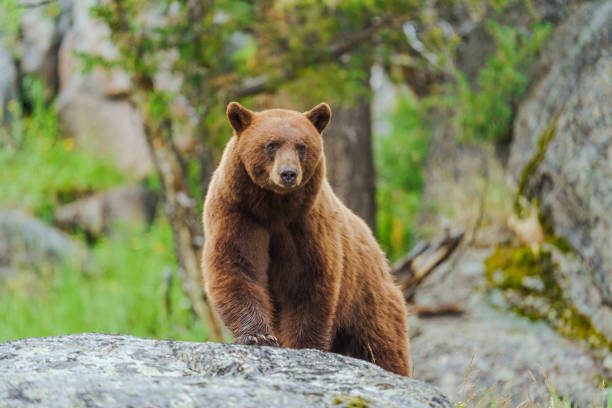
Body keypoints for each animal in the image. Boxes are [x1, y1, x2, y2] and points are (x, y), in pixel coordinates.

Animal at [201, 101, 412, 376]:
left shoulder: (306, 225)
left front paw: (304, 345)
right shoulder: (238, 213)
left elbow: (307, 281)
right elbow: (237, 266)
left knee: (382, 346)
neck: (273, 208)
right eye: (271, 144)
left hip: (368, 300)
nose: (288, 173)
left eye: (302, 146)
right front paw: (258, 336)